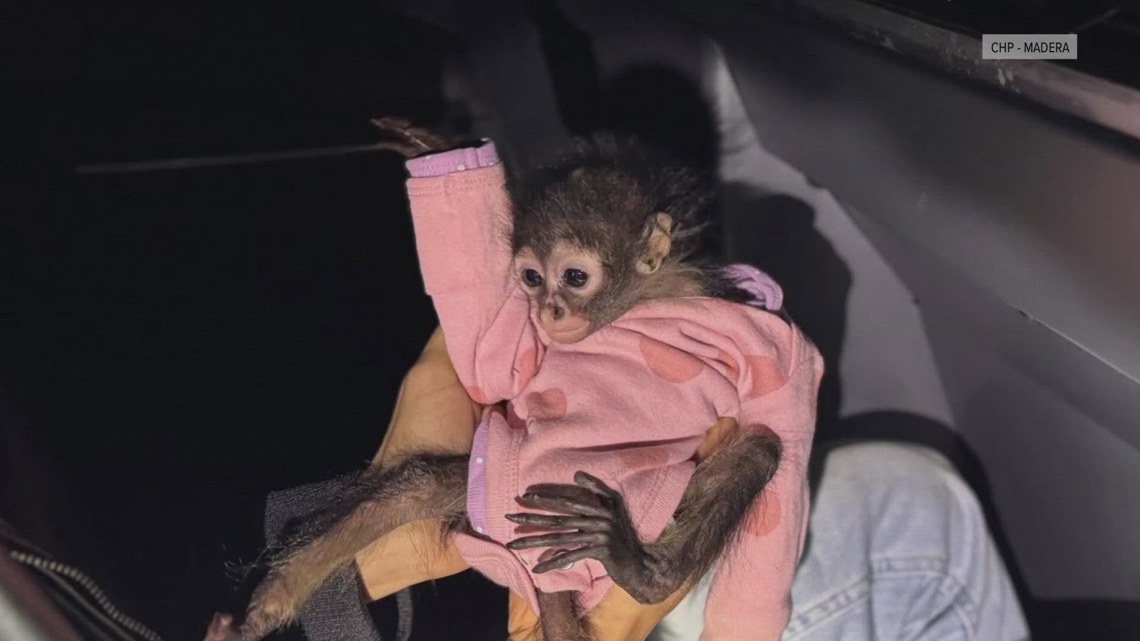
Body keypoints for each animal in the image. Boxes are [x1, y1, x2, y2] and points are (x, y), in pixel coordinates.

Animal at [204, 119, 822, 641]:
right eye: (531, 278)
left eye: (574, 277)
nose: (549, 310)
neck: (637, 304)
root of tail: (542, 571)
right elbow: (489, 363)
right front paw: (435, 149)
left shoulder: (757, 334)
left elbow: (786, 402)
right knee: (416, 485)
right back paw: (260, 611)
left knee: (763, 448)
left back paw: (645, 572)